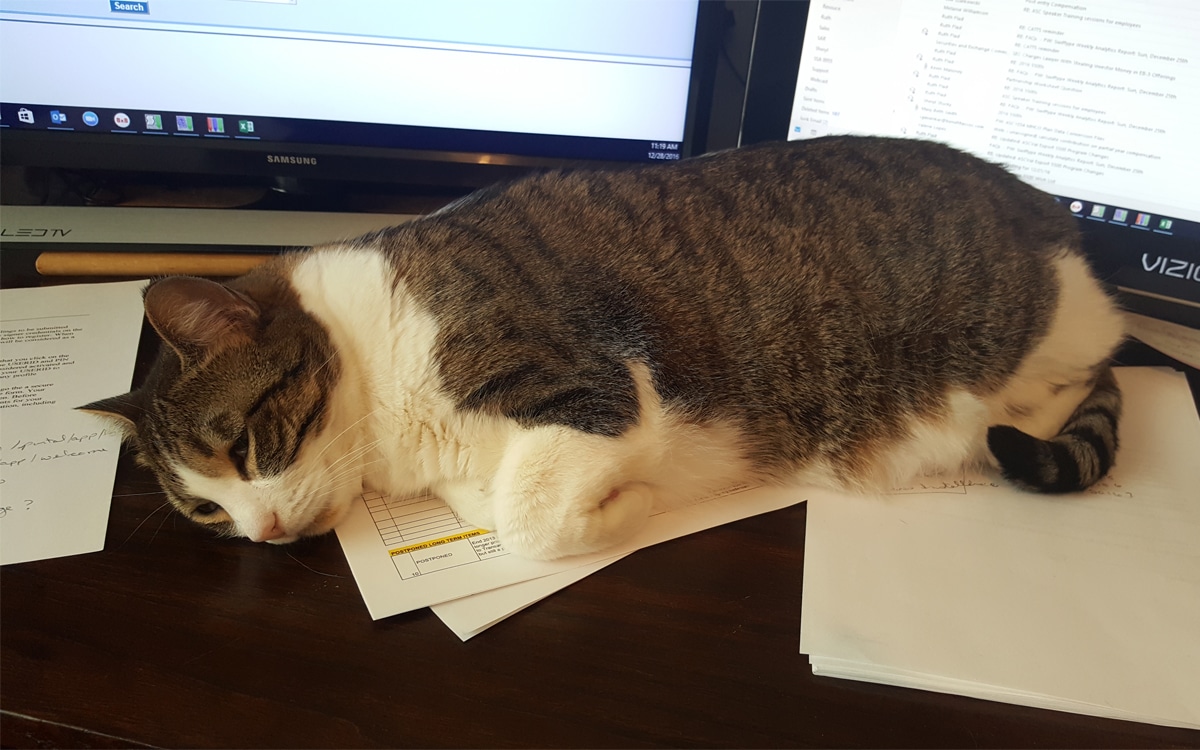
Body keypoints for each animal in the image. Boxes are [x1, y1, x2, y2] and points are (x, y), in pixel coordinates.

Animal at [82, 134, 1123, 559]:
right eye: (205, 511)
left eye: (240, 445)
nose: (259, 536)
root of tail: (1054, 216)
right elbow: (490, 501)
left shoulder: (593, 389)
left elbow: (528, 519)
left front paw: (630, 508)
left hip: (1022, 335)